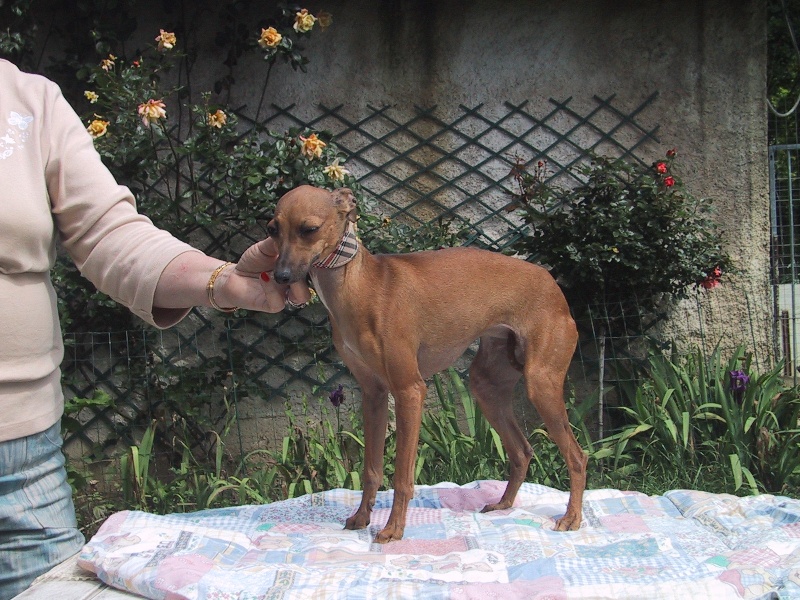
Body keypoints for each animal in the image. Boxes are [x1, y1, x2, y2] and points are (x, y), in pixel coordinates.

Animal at [268, 184, 588, 544]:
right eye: (272, 229)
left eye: (309, 229)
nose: (280, 276)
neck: (360, 286)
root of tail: (551, 282)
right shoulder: (373, 395)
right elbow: (371, 468)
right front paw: (362, 517)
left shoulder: (409, 391)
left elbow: (402, 476)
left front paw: (393, 529)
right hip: (487, 387)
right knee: (521, 451)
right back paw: (503, 505)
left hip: (541, 384)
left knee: (577, 456)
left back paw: (571, 517)